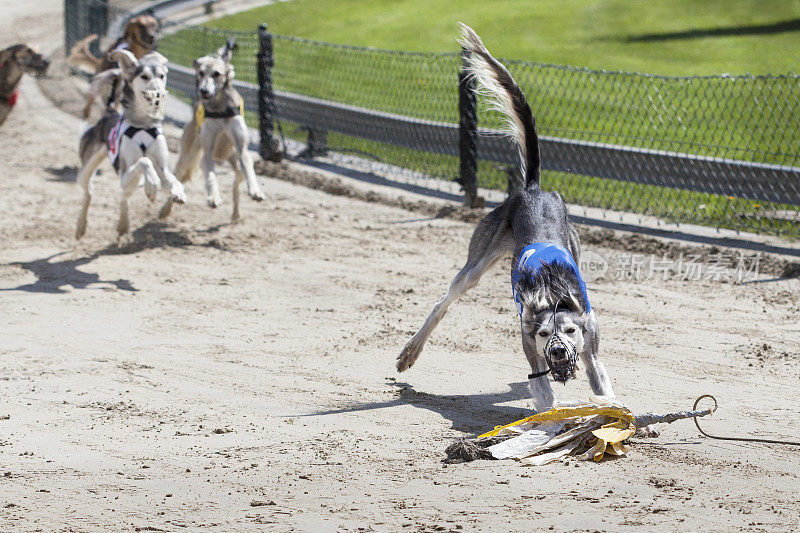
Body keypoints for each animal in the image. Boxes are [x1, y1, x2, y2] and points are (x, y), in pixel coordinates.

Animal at [76, 50, 187, 241]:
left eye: (162, 76)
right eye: (144, 76)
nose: (158, 94)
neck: (143, 125)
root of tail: (109, 113)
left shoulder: (163, 166)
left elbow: (170, 179)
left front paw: (177, 192)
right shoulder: (124, 172)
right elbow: (145, 161)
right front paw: (152, 186)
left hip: (127, 182)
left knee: (123, 198)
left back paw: (123, 224)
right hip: (88, 167)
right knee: (89, 191)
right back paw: (81, 227)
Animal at [159, 37, 266, 220]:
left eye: (217, 74)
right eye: (201, 73)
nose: (203, 91)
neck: (219, 108)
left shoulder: (242, 149)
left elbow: (249, 170)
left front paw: (256, 191)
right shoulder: (207, 152)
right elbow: (210, 176)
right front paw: (213, 197)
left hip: (233, 159)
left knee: (238, 179)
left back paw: (236, 212)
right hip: (187, 157)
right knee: (178, 178)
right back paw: (168, 206)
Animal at [396, 23, 616, 412]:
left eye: (570, 331)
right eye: (544, 333)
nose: (558, 352)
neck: (552, 293)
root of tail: (532, 189)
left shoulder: (591, 343)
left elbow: (602, 387)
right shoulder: (530, 345)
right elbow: (544, 392)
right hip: (478, 259)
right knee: (443, 302)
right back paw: (411, 350)